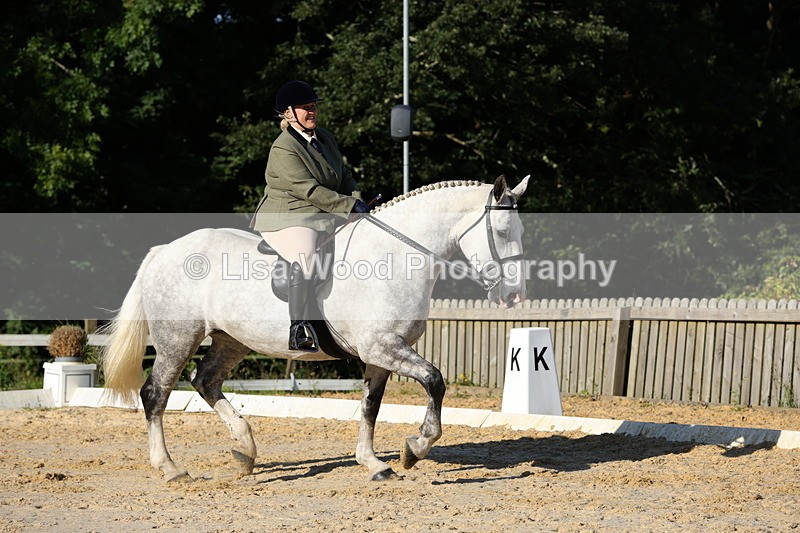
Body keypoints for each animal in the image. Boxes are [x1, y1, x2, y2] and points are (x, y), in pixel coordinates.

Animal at [100, 175, 530, 481]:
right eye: (502, 232)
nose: (515, 294)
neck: (394, 256)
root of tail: (164, 251)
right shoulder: (382, 347)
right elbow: (435, 381)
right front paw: (415, 448)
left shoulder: (380, 355)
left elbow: (370, 406)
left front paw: (374, 463)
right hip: (177, 338)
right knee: (156, 394)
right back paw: (171, 468)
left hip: (230, 340)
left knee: (205, 381)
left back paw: (245, 450)